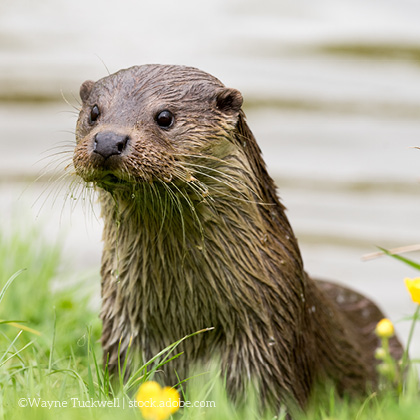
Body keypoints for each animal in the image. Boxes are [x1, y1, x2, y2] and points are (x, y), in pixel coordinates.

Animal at [72, 65, 400, 410]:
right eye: (94, 112)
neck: (188, 319)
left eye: (164, 116)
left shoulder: (267, 344)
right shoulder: (125, 333)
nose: (109, 140)